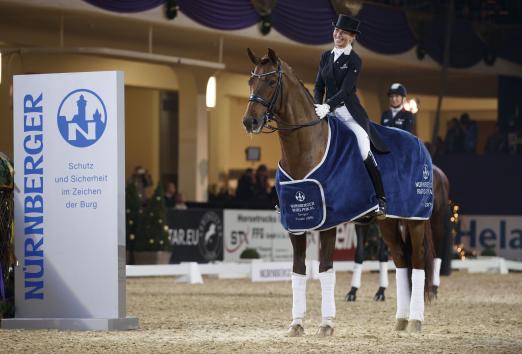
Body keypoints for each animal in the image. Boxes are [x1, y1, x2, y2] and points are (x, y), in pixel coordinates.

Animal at [242, 49, 432, 334]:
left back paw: (416, 320)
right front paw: (296, 323)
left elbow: (325, 269)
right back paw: (401, 320)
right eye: (251, 82)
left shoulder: (329, 221)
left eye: (272, 82)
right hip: (387, 223)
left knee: (418, 263)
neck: (305, 148)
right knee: (401, 260)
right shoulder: (297, 221)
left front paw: (326, 323)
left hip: (415, 219)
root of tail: (418, 142)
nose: (249, 121)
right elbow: (298, 270)